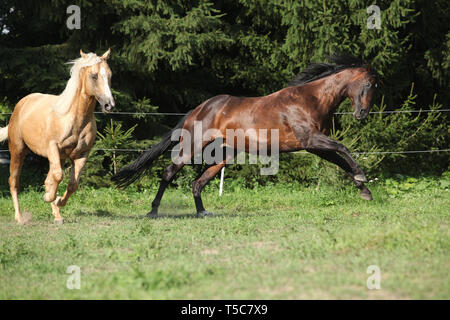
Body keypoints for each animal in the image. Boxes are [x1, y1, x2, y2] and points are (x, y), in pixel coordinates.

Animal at [0, 50, 114, 225]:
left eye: (109, 75)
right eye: (94, 76)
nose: (109, 105)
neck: (73, 117)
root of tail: (22, 104)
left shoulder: (81, 154)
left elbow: (72, 183)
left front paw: (58, 201)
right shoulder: (53, 147)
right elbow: (58, 176)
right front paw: (48, 197)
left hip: (59, 157)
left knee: (49, 179)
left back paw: (57, 215)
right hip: (18, 151)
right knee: (14, 181)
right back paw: (19, 217)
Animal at [113, 53, 380, 218]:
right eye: (369, 84)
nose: (362, 114)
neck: (310, 100)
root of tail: (197, 110)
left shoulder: (314, 146)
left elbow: (341, 161)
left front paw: (364, 190)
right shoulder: (312, 141)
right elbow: (344, 149)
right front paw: (363, 177)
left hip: (222, 156)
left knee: (198, 182)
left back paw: (202, 212)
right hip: (191, 147)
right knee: (169, 173)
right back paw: (153, 212)